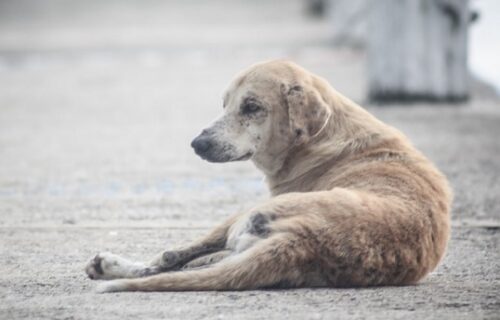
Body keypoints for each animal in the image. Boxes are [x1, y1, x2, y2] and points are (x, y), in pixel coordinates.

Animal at [86, 60, 454, 292]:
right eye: (224, 104)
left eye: (251, 107)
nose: (197, 144)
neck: (321, 136)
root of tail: (303, 240)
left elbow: (175, 253)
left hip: (248, 215)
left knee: (168, 263)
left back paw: (111, 266)